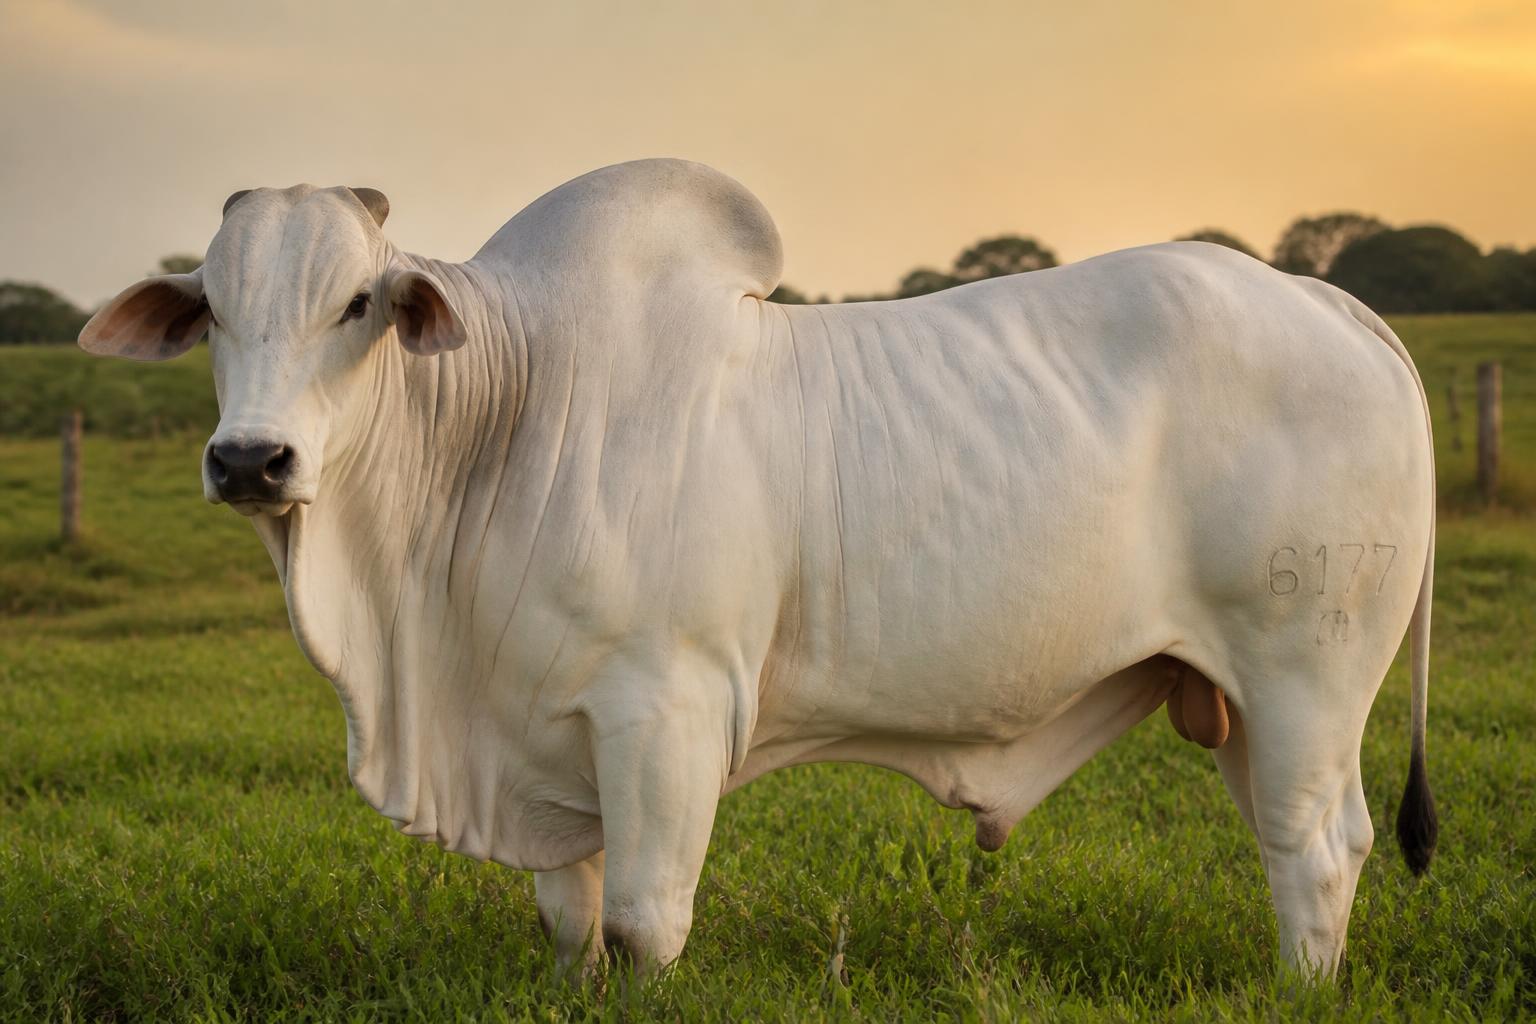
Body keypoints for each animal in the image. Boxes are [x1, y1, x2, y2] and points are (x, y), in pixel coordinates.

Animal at [79, 159, 1436, 980]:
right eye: (212, 310)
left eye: (357, 302)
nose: (251, 459)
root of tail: (1327, 299)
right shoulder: (541, 738)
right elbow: (571, 919)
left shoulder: (665, 711)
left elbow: (643, 923)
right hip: (1239, 700)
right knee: (1299, 842)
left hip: (1308, 676)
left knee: (1317, 847)